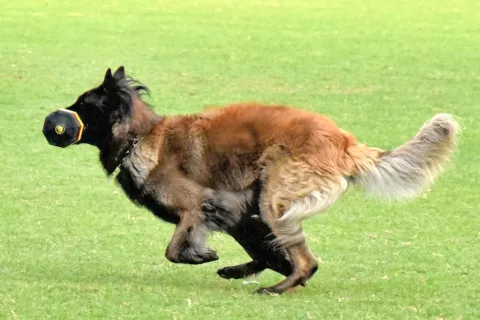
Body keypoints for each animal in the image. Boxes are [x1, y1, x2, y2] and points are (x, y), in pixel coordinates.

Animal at [43, 67, 460, 296]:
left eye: (83, 105)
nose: (53, 120)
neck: (141, 136)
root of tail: (344, 141)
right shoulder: (235, 213)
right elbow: (264, 252)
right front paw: (222, 261)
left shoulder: (198, 206)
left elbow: (174, 249)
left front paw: (202, 255)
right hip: (264, 204)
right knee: (293, 257)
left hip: (275, 200)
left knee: (307, 261)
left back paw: (275, 290)